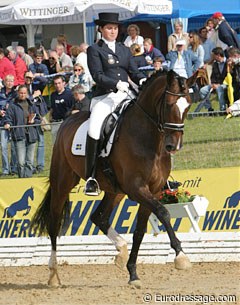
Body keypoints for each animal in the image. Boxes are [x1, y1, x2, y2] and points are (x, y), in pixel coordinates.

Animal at [31, 70, 197, 286]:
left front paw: (133, 273)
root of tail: (66, 122)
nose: (173, 146)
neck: (149, 138)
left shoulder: (152, 190)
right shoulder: (137, 188)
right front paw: (181, 256)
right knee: (54, 222)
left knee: (99, 216)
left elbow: (139, 231)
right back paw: (53, 273)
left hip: (114, 191)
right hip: (62, 182)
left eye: (188, 105)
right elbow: (163, 212)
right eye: (168, 104)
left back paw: (121, 250)